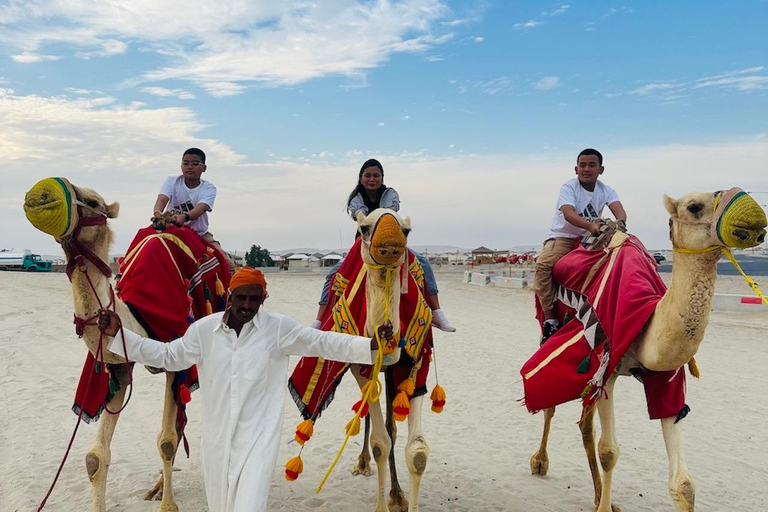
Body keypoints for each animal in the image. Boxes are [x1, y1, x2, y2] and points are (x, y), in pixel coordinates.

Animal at [24, 177, 228, 512]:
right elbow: (95, 457)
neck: (134, 311)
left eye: (93, 202)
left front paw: (169, 506)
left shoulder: (176, 359)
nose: (40, 195)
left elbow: (166, 441)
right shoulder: (118, 367)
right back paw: (157, 487)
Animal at [528, 189, 768, 512]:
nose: (753, 221)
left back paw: (596, 494)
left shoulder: (665, 376)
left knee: (585, 424)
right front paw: (603, 506)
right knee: (552, 407)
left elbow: (684, 484)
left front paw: (605, 501)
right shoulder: (608, 366)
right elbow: (609, 452)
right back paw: (540, 462)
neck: (648, 316)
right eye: (694, 207)